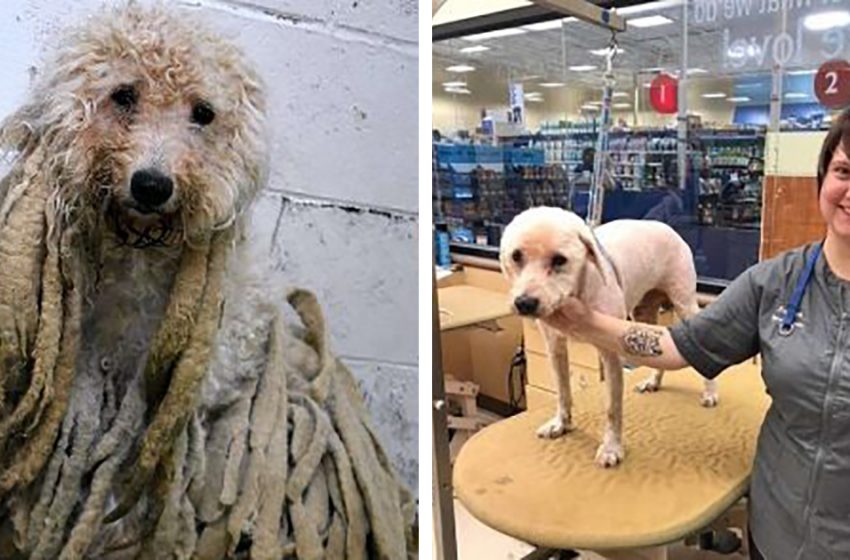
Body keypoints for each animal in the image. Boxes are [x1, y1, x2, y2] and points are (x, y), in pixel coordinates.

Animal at [496, 208, 716, 466]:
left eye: (560, 260)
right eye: (516, 256)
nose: (524, 303)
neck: (579, 290)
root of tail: (666, 227)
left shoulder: (611, 354)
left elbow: (612, 408)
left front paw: (612, 448)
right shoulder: (555, 348)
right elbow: (562, 391)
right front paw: (561, 424)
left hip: (684, 303)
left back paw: (710, 392)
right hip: (643, 315)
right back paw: (653, 381)